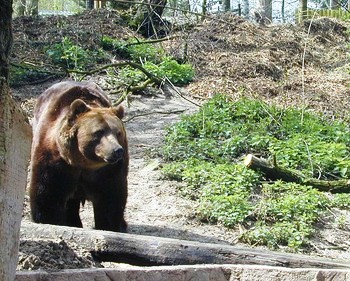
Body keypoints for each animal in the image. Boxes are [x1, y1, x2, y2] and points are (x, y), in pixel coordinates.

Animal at [27, 80, 129, 231]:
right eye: (99, 132)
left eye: (118, 133)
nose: (117, 150)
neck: (82, 162)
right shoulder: (55, 160)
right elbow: (48, 194)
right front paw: (50, 221)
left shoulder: (108, 171)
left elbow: (110, 200)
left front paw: (107, 226)